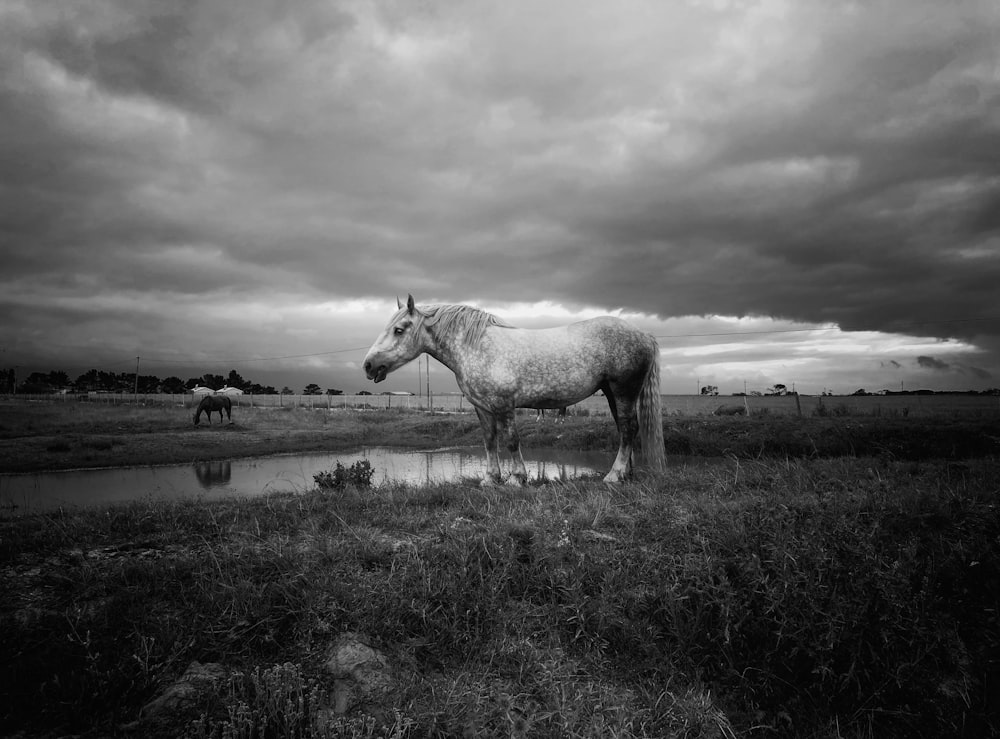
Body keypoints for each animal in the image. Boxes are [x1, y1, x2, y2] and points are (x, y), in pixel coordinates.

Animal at [362, 294, 664, 486]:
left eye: (399, 330)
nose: (368, 365)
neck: (477, 347)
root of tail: (645, 335)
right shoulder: (482, 408)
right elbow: (489, 441)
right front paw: (490, 479)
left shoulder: (504, 406)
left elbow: (511, 441)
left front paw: (516, 479)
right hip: (613, 393)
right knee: (626, 429)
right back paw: (626, 474)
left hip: (623, 391)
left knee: (628, 428)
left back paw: (613, 476)